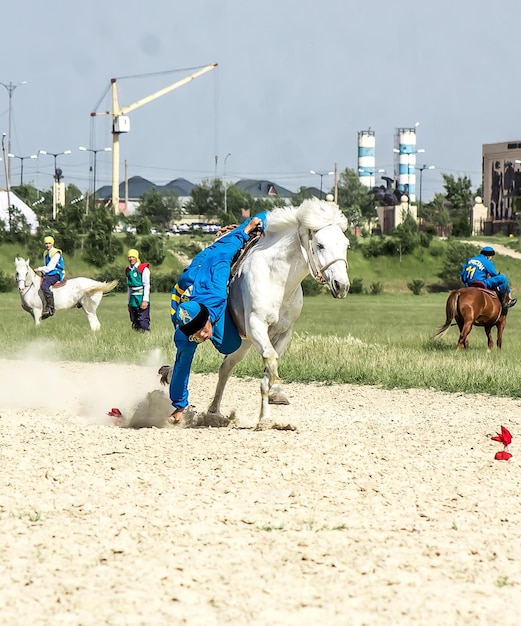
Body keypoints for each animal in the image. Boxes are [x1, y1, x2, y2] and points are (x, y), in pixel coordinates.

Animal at [160, 197, 352, 426]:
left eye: (346, 245)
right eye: (320, 245)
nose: (342, 285)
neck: (277, 279)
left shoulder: (283, 332)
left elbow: (271, 363)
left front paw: (273, 400)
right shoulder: (256, 325)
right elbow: (270, 359)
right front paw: (269, 407)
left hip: (243, 342)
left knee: (225, 367)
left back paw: (213, 410)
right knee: (185, 360)